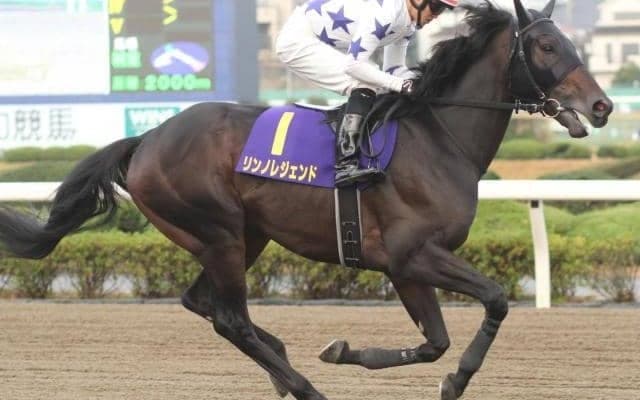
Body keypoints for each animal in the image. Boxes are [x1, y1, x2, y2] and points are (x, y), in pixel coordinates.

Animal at [0, 1, 612, 399]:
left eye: (571, 43)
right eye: (546, 46)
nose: (603, 106)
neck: (439, 138)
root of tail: (146, 138)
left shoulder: (405, 267)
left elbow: (435, 342)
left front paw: (347, 351)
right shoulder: (414, 255)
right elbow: (495, 299)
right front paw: (454, 379)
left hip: (243, 235)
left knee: (204, 304)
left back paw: (283, 363)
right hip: (218, 232)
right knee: (230, 318)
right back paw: (302, 386)